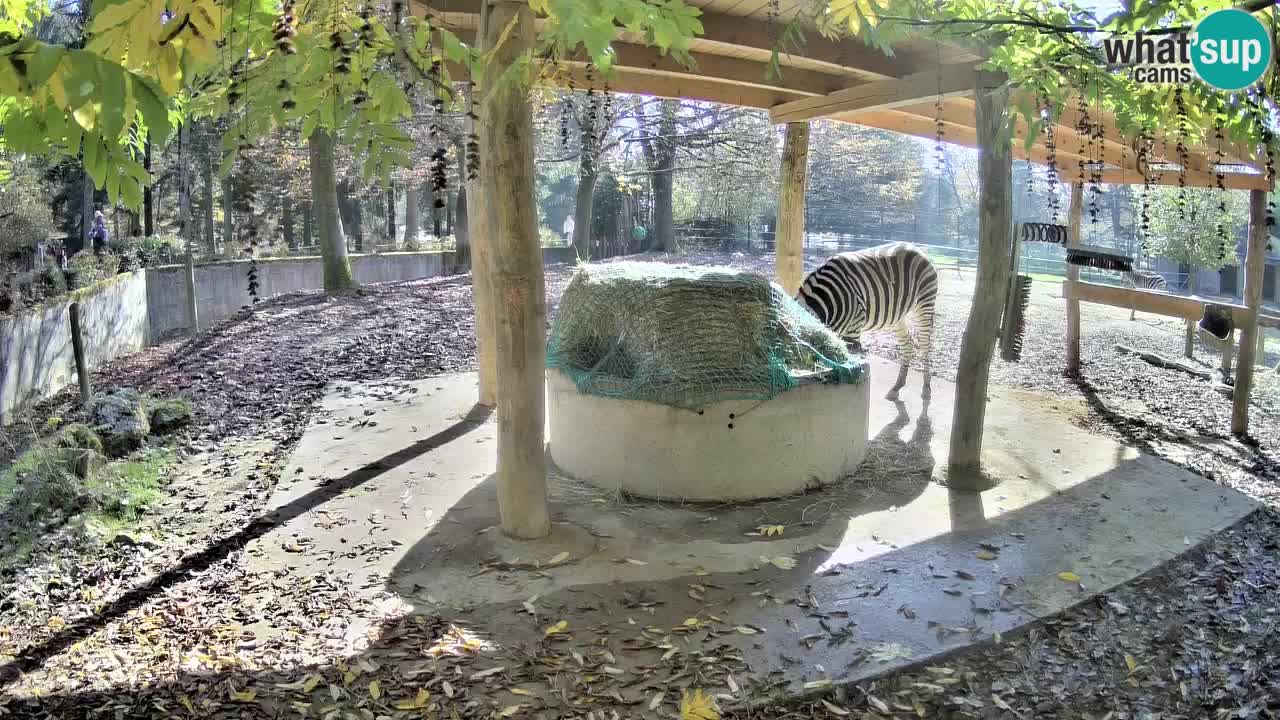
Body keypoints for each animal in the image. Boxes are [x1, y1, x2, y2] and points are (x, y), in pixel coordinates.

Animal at [793, 239, 936, 397]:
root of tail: (915, 247)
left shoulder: (854, 328)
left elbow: (849, 360)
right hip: (898, 315)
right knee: (907, 344)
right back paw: (897, 386)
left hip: (924, 304)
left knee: (926, 345)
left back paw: (927, 387)